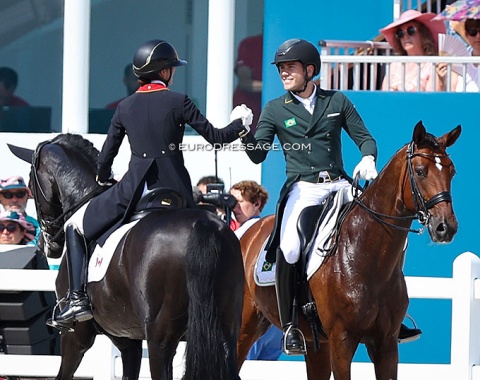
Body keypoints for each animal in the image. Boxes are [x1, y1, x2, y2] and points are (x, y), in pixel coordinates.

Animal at [8, 134, 244, 380]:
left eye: (30, 186)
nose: (46, 245)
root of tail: (203, 224)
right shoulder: (127, 339)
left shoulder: (76, 336)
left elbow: (64, 374)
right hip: (225, 334)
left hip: (160, 340)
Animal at [238, 122, 460, 380]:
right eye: (421, 171)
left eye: (452, 172)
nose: (445, 227)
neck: (367, 255)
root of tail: (249, 231)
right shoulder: (342, 341)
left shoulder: (386, 344)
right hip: (244, 329)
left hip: (316, 344)